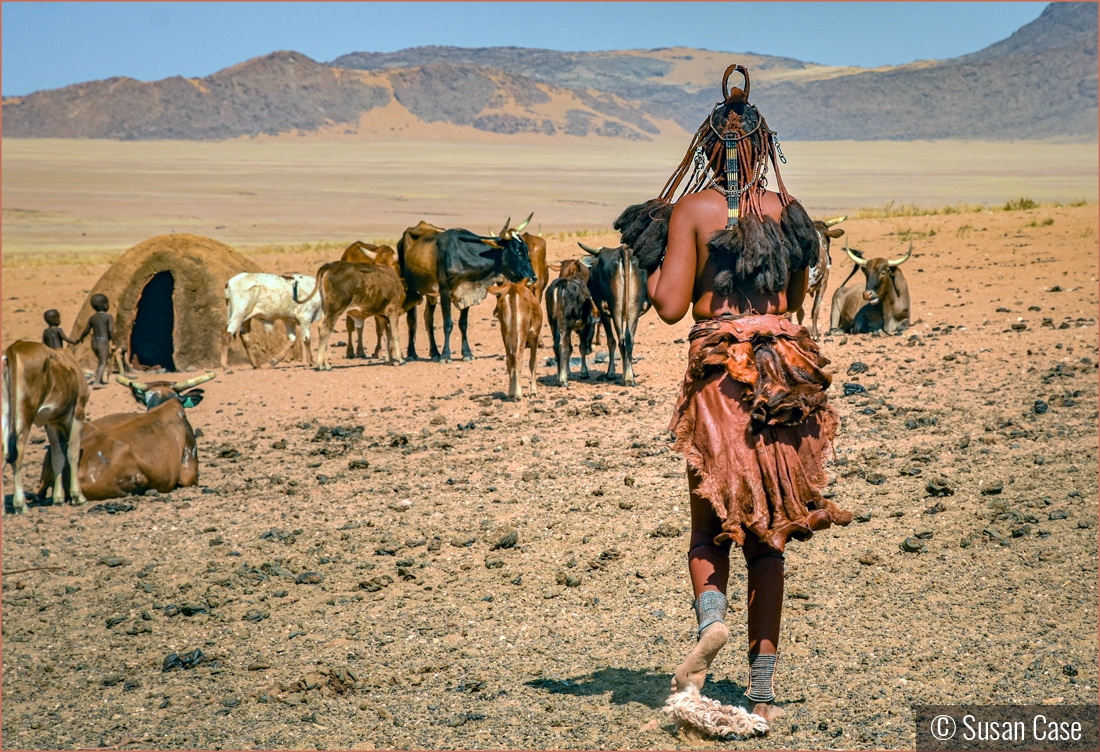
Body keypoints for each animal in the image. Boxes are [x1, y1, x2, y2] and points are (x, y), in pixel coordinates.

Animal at [3, 338, 88, 510]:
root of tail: (14, 348)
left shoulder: (50, 423)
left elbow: (57, 457)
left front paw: (58, 498)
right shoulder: (78, 414)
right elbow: (72, 453)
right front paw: (78, 496)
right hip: (24, 417)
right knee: (17, 454)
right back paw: (20, 504)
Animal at [580, 244, 646, 386]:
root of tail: (624, 251)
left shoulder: (603, 311)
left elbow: (611, 341)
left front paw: (610, 373)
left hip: (615, 307)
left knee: (620, 340)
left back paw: (625, 377)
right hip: (633, 307)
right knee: (628, 340)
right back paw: (629, 377)